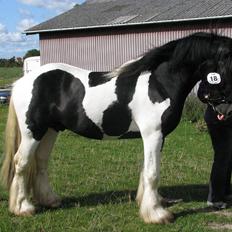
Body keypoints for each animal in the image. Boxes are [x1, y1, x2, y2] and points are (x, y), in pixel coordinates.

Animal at [1, 31, 232, 224]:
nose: (225, 109)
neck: (159, 83)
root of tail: (21, 83)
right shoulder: (153, 135)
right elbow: (152, 173)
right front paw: (157, 214)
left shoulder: (158, 137)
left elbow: (147, 169)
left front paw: (150, 203)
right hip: (33, 132)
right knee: (21, 163)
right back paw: (23, 208)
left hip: (50, 130)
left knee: (40, 162)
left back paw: (49, 200)